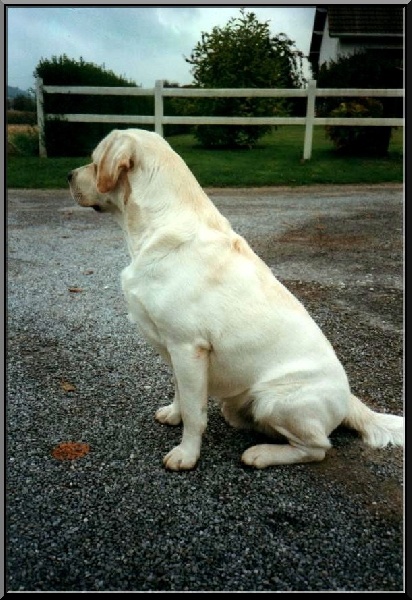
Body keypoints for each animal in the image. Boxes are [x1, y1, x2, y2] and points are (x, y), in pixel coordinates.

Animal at [68, 128, 404, 471]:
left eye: (94, 162)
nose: (68, 175)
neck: (155, 226)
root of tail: (349, 400)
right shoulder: (175, 350)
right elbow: (180, 392)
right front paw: (173, 414)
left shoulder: (188, 346)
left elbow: (195, 413)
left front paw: (186, 454)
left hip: (274, 399)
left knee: (318, 447)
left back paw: (261, 453)